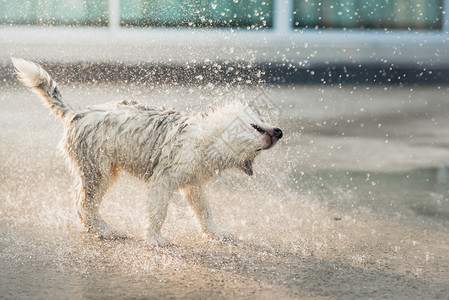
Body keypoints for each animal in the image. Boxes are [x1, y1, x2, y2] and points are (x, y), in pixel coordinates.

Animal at [13, 58, 284, 246]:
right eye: (259, 121)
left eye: (255, 155)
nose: (280, 132)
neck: (208, 141)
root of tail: (76, 113)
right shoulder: (162, 180)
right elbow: (158, 211)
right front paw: (155, 238)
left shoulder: (192, 184)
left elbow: (204, 211)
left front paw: (216, 233)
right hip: (98, 172)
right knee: (84, 205)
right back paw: (107, 231)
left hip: (104, 171)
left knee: (82, 206)